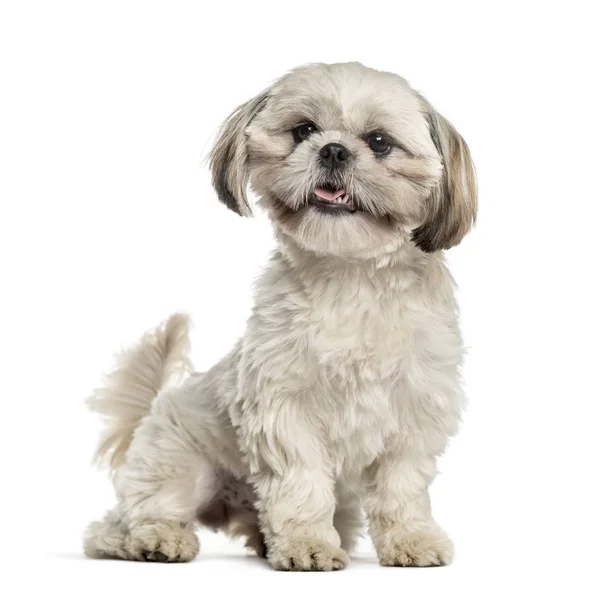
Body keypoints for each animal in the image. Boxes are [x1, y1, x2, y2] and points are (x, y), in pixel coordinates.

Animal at [84, 62, 478, 572]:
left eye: (379, 141)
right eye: (304, 130)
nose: (333, 149)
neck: (351, 277)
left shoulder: (415, 410)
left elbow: (402, 487)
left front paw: (412, 539)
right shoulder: (283, 409)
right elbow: (302, 483)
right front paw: (307, 545)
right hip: (178, 466)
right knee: (119, 525)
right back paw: (156, 540)